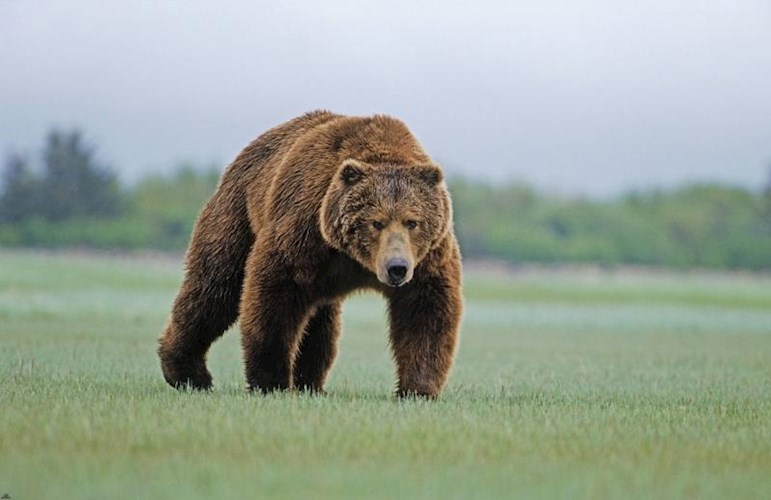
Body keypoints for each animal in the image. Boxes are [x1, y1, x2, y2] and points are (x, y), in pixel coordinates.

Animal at [157, 110, 462, 397]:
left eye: (412, 221)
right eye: (376, 222)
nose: (396, 267)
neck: (355, 259)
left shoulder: (427, 259)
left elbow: (425, 311)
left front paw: (417, 388)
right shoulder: (304, 231)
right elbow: (273, 297)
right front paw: (271, 381)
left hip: (320, 280)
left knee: (320, 324)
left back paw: (310, 383)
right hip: (237, 215)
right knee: (214, 288)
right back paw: (187, 373)